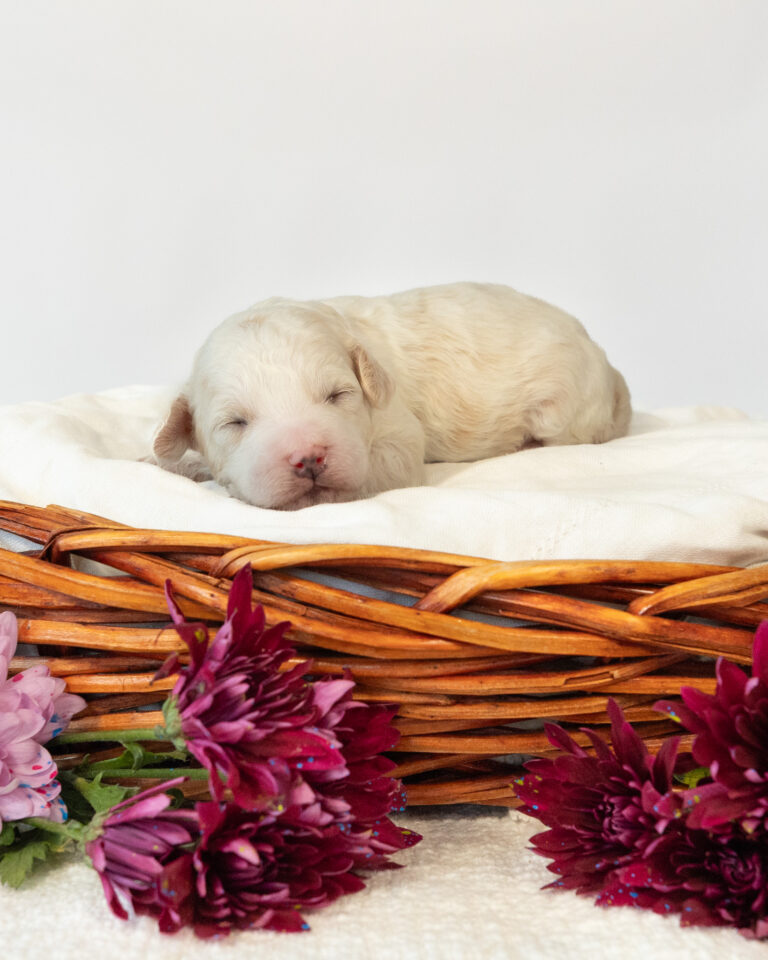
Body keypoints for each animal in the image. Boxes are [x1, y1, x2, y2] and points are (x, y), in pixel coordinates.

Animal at [152, 282, 631, 509]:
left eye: (338, 395)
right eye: (235, 423)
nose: (309, 458)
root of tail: (609, 368)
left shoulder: (397, 429)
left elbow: (392, 460)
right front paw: (170, 462)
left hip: (565, 409)